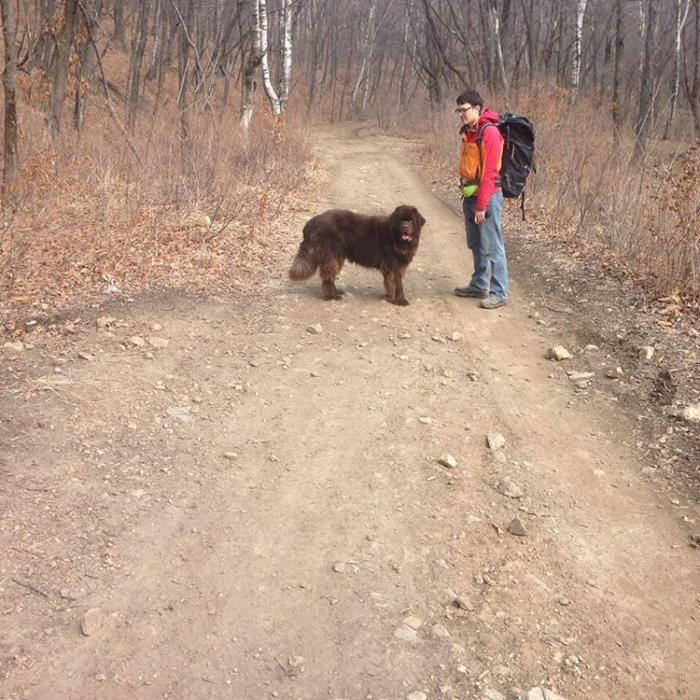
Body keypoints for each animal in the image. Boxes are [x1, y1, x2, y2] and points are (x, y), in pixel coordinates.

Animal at [288, 204, 426, 304]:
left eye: (410, 220)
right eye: (400, 220)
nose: (405, 226)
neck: (395, 237)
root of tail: (312, 221)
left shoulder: (397, 266)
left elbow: (390, 282)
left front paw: (389, 296)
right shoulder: (394, 266)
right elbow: (398, 284)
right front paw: (400, 300)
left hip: (337, 257)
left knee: (329, 276)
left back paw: (336, 292)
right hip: (332, 255)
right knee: (327, 277)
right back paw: (331, 296)